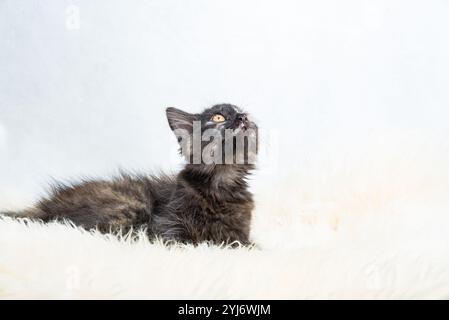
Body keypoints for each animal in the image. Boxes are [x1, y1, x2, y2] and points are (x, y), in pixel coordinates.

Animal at [0, 104, 258, 246]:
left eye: (244, 113)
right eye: (218, 117)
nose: (244, 118)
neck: (222, 183)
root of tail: (46, 205)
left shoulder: (239, 236)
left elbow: (246, 246)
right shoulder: (167, 226)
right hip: (135, 201)